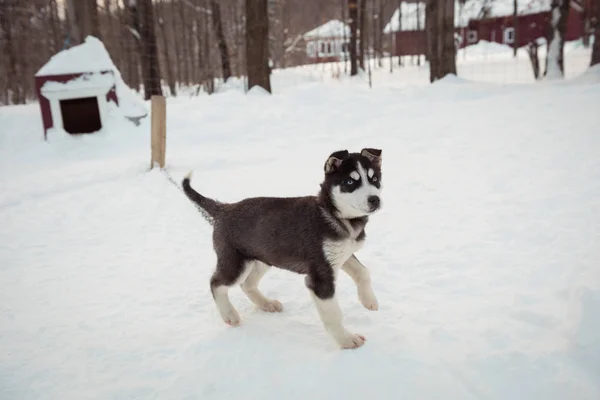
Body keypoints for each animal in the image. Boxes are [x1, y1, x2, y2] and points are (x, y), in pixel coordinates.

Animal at [180, 148, 382, 348]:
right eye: (350, 182)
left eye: (374, 179)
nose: (375, 200)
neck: (333, 214)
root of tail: (224, 209)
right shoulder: (320, 275)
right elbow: (333, 313)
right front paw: (346, 340)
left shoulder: (341, 255)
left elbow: (363, 272)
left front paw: (369, 300)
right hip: (235, 263)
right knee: (216, 283)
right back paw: (230, 315)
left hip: (263, 257)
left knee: (247, 284)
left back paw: (266, 304)